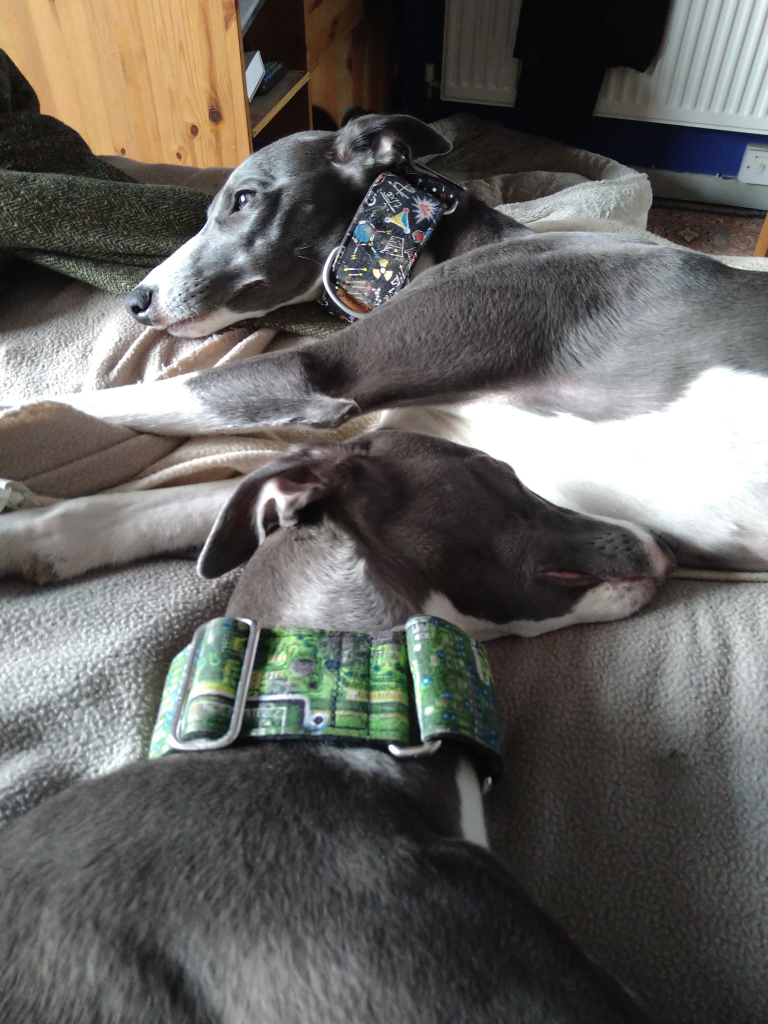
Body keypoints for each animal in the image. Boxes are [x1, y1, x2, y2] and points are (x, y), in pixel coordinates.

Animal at [34, 114, 768, 577]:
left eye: (242, 199)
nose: (136, 301)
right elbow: (165, 504)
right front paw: (31, 538)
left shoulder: (319, 369)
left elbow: (124, 397)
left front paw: (29, 420)